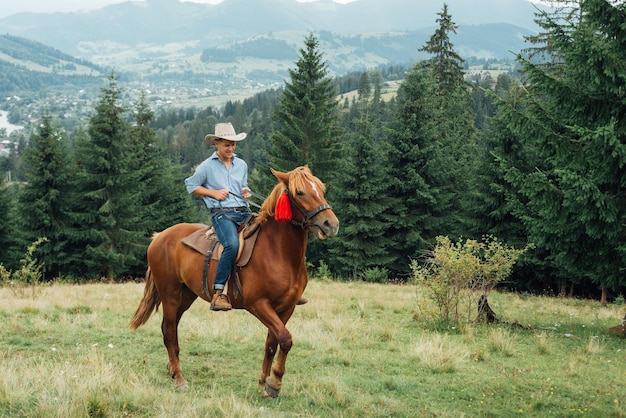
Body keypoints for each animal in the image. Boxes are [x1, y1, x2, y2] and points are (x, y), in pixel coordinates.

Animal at [127, 165, 338, 396]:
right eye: (300, 192)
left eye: (321, 189)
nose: (331, 224)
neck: (278, 251)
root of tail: (159, 237)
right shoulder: (258, 304)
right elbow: (286, 339)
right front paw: (274, 383)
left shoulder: (286, 308)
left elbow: (272, 343)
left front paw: (264, 383)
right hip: (170, 294)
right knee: (169, 333)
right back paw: (180, 379)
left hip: (186, 295)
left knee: (169, 328)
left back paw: (173, 370)